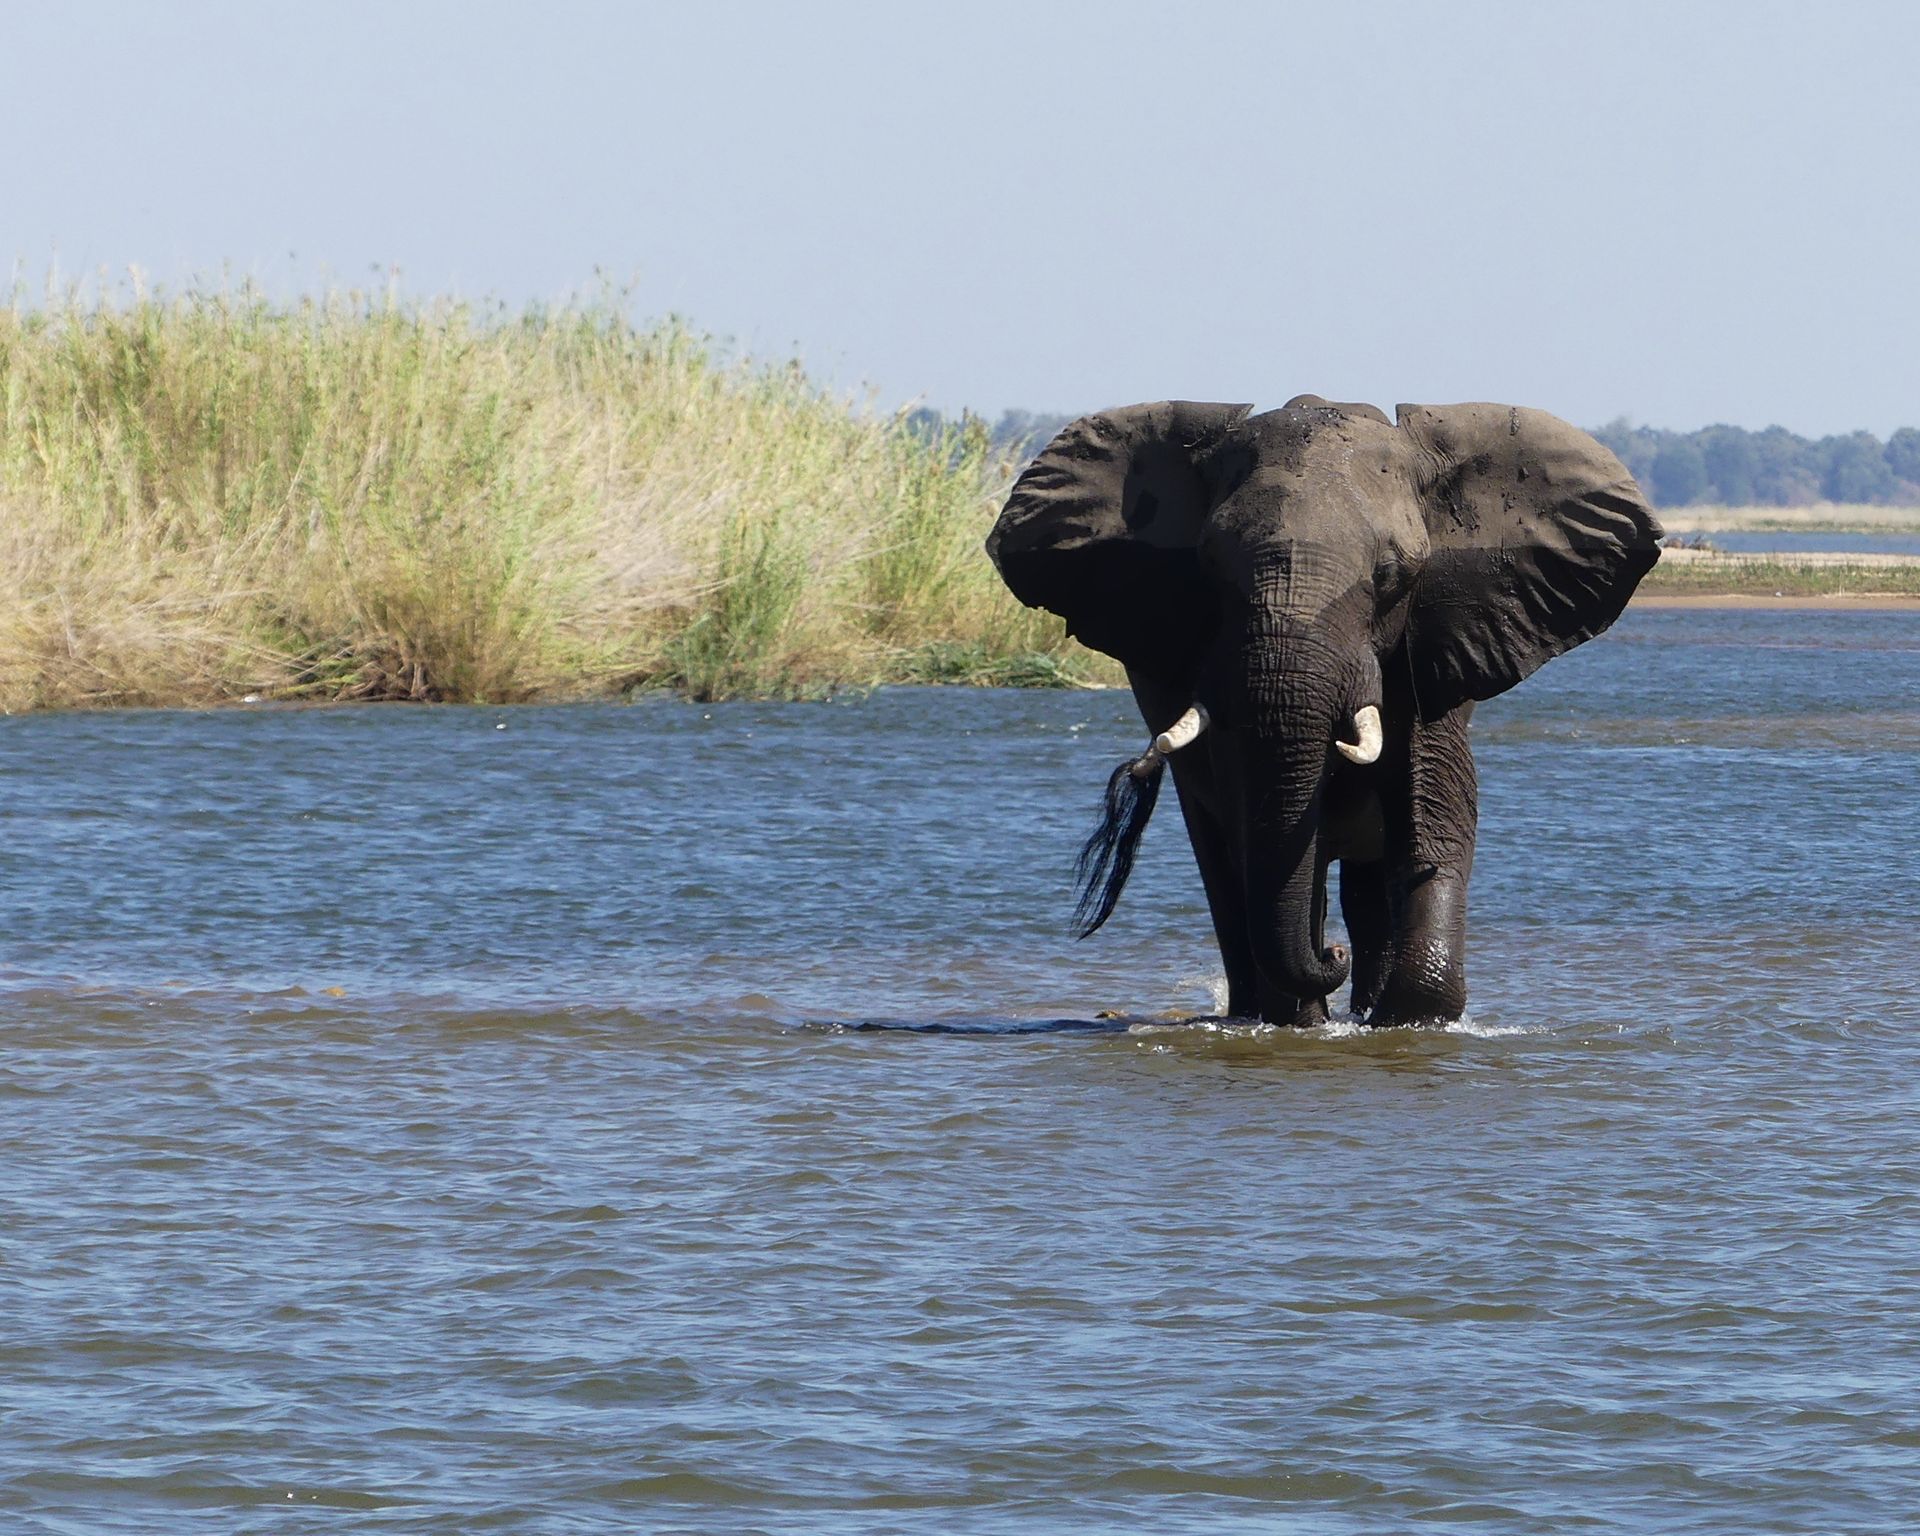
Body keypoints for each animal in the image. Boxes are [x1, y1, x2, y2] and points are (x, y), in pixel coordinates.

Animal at [986, 396, 1662, 1026]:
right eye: (1208, 567)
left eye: (1392, 576)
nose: (1329, 953)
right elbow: (1268, 834)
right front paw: (1306, 1020)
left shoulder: (1439, 639)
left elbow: (1438, 807)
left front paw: (1411, 1020)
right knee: (1227, 869)